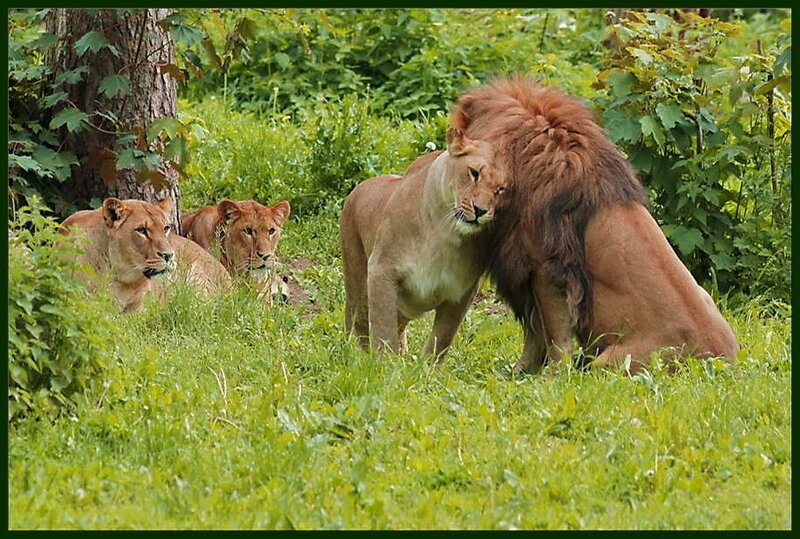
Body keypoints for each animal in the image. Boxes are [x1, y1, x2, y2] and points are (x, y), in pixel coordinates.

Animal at [340, 128, 507, 358]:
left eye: (501, 189)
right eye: (474, 173)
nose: (480, 211)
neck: (445, 233)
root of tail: (358, 188)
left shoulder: (461, 292)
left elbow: (441, 339)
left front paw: (424, 366)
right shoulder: (382, 270)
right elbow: (383, 331)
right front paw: (383, 363)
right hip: (357, 281)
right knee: (357, 318)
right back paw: (352, 353)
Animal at [452, 77, 738, 373]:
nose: (478, 211)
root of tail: (721, 362)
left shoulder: (546, 268)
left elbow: (553, 335)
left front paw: (551, 376)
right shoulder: (527, 274)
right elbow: (535, 333)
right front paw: (519, 372)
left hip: (609, 362)